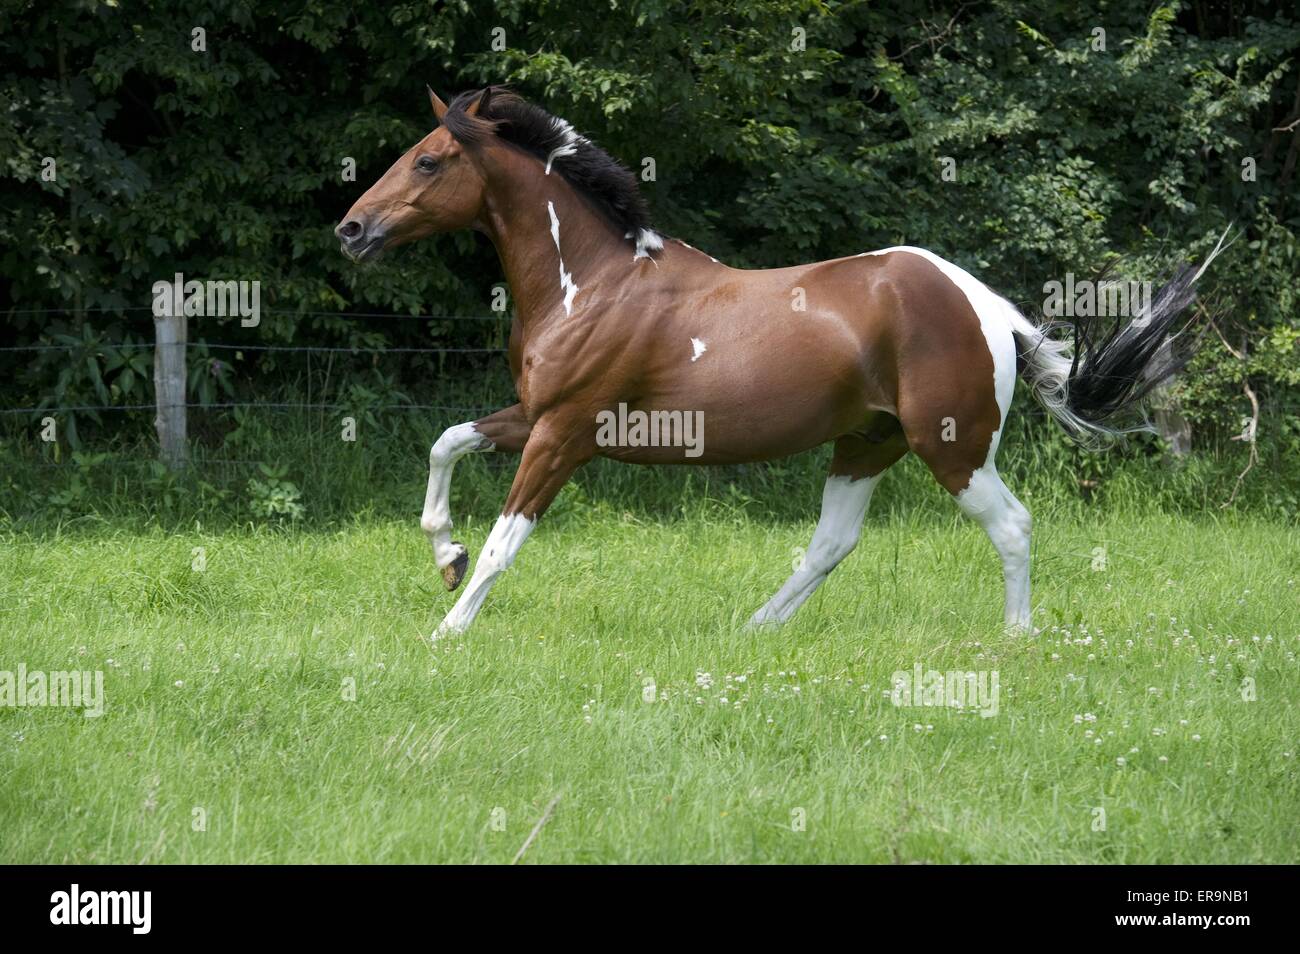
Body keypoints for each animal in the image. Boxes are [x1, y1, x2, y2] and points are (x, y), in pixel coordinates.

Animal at [335, 86, 1229, 639]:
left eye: (428, 159)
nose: (351, 229)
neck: (590, 282)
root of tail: (984, 305)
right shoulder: (533, 415)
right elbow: (447, 443)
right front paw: (444, 558)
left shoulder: (564, 433)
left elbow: (506, 539)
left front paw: (450, 624)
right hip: (867, 443)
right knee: (832, 543)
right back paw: (756, 626)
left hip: (952, 449)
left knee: (1011, 525)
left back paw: (1015, 637)